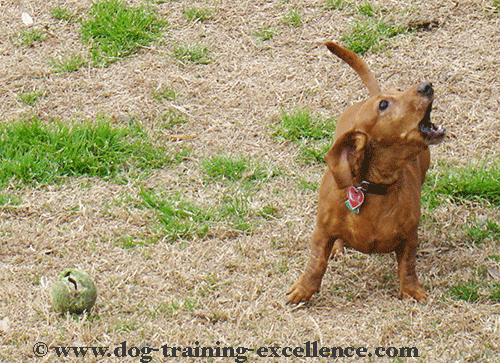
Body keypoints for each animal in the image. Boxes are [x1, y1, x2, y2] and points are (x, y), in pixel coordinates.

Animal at [288, 40, 448, 304]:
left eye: (400, 89)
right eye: (383, 105)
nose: (427, 86)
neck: (374, 186)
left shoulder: (409, 236)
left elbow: (408, 265)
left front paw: (412, 290)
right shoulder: (322, 231)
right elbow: (316, 262)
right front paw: (303, 290)